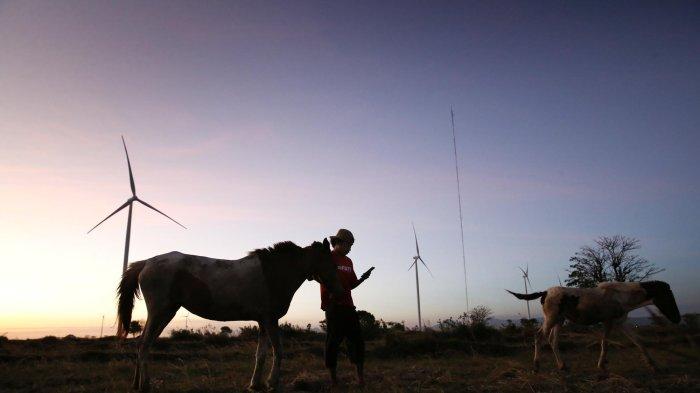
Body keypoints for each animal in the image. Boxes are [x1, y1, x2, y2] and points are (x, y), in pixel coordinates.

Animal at [117, 237, 344, 390]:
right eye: (331, 262)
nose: (340, 289)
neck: (275, 272)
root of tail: (146, 263)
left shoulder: (263, 321)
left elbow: (261, 354)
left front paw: (255, 384)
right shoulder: (270, 319)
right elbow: (278, 350)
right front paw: (272, 382)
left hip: (164, 313)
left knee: (142, 344)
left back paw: (136, 384)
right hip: (160, 312)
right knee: (144, 345)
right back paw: (145, 384)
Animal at [508, 280, 680, 372]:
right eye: (668, 296)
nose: (677, 319)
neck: (621, 296)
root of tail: (544, 292)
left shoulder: (620, 322)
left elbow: (639, 342)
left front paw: (654, 366)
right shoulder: (608, 322)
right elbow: (605, 343)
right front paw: (601, 365)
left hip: (559, 321)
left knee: (552, 340)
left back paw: (562, 366)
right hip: (551, 319)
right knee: (539, 337)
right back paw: (536, 367)